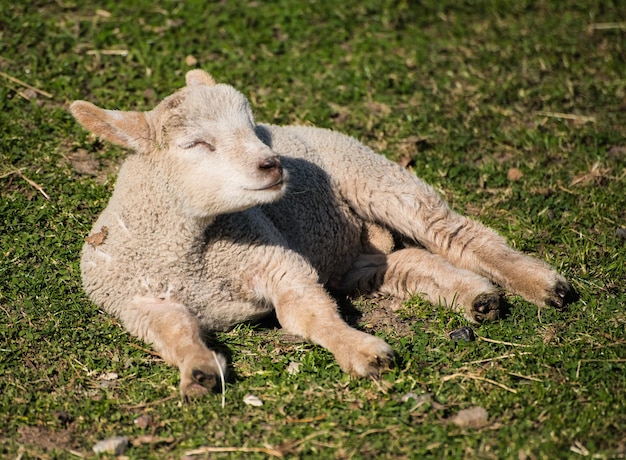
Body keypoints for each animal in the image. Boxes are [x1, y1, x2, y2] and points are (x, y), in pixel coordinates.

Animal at [70, 68, 572, 398]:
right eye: (196, 144)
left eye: (251, 129)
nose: (272, 163)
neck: (191, 252)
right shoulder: (137, 305)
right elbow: (175, 332)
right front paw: (198, 372)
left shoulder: (278, 263)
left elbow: (309, 316)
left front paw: (361, 352)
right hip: (346, 255)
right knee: (405, 262)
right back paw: (478, 298)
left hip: (372, 175)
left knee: (454, 234)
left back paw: (545, 286)